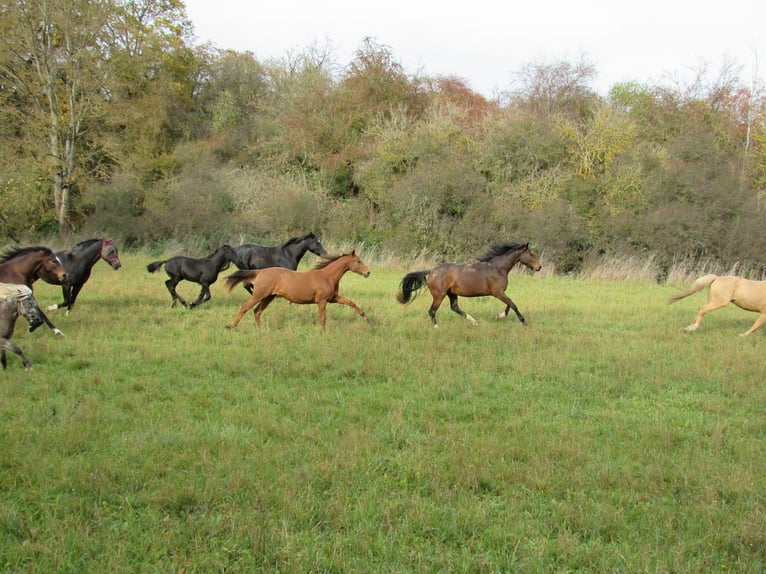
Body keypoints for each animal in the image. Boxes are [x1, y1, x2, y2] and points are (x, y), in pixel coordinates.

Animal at [225, 250, 370, 330]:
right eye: (358, 261)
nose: (368, 273)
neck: (327, 276)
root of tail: (260, 272)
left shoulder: (333, 298)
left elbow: (351, 303)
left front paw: (367, 319)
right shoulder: (322, 301)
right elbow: (323, 318)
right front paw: (324, 332)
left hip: (268, 297)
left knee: (257, 311)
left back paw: (261, 330)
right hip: (259, 295)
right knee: (245, 307)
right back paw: (231, 326)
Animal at [396, 242, 542, 328]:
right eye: (530, 254)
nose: (539, 267)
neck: (498, 268)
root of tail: (431, 271)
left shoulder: (500, 293)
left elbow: (509, 305)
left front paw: (499, 316)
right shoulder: (498, 292)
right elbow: (512, 304)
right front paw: (523, 322)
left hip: (452, 294)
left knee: (454, 307)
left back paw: (474, 321)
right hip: (439, 295)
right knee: (432, 310)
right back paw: (437, 327)